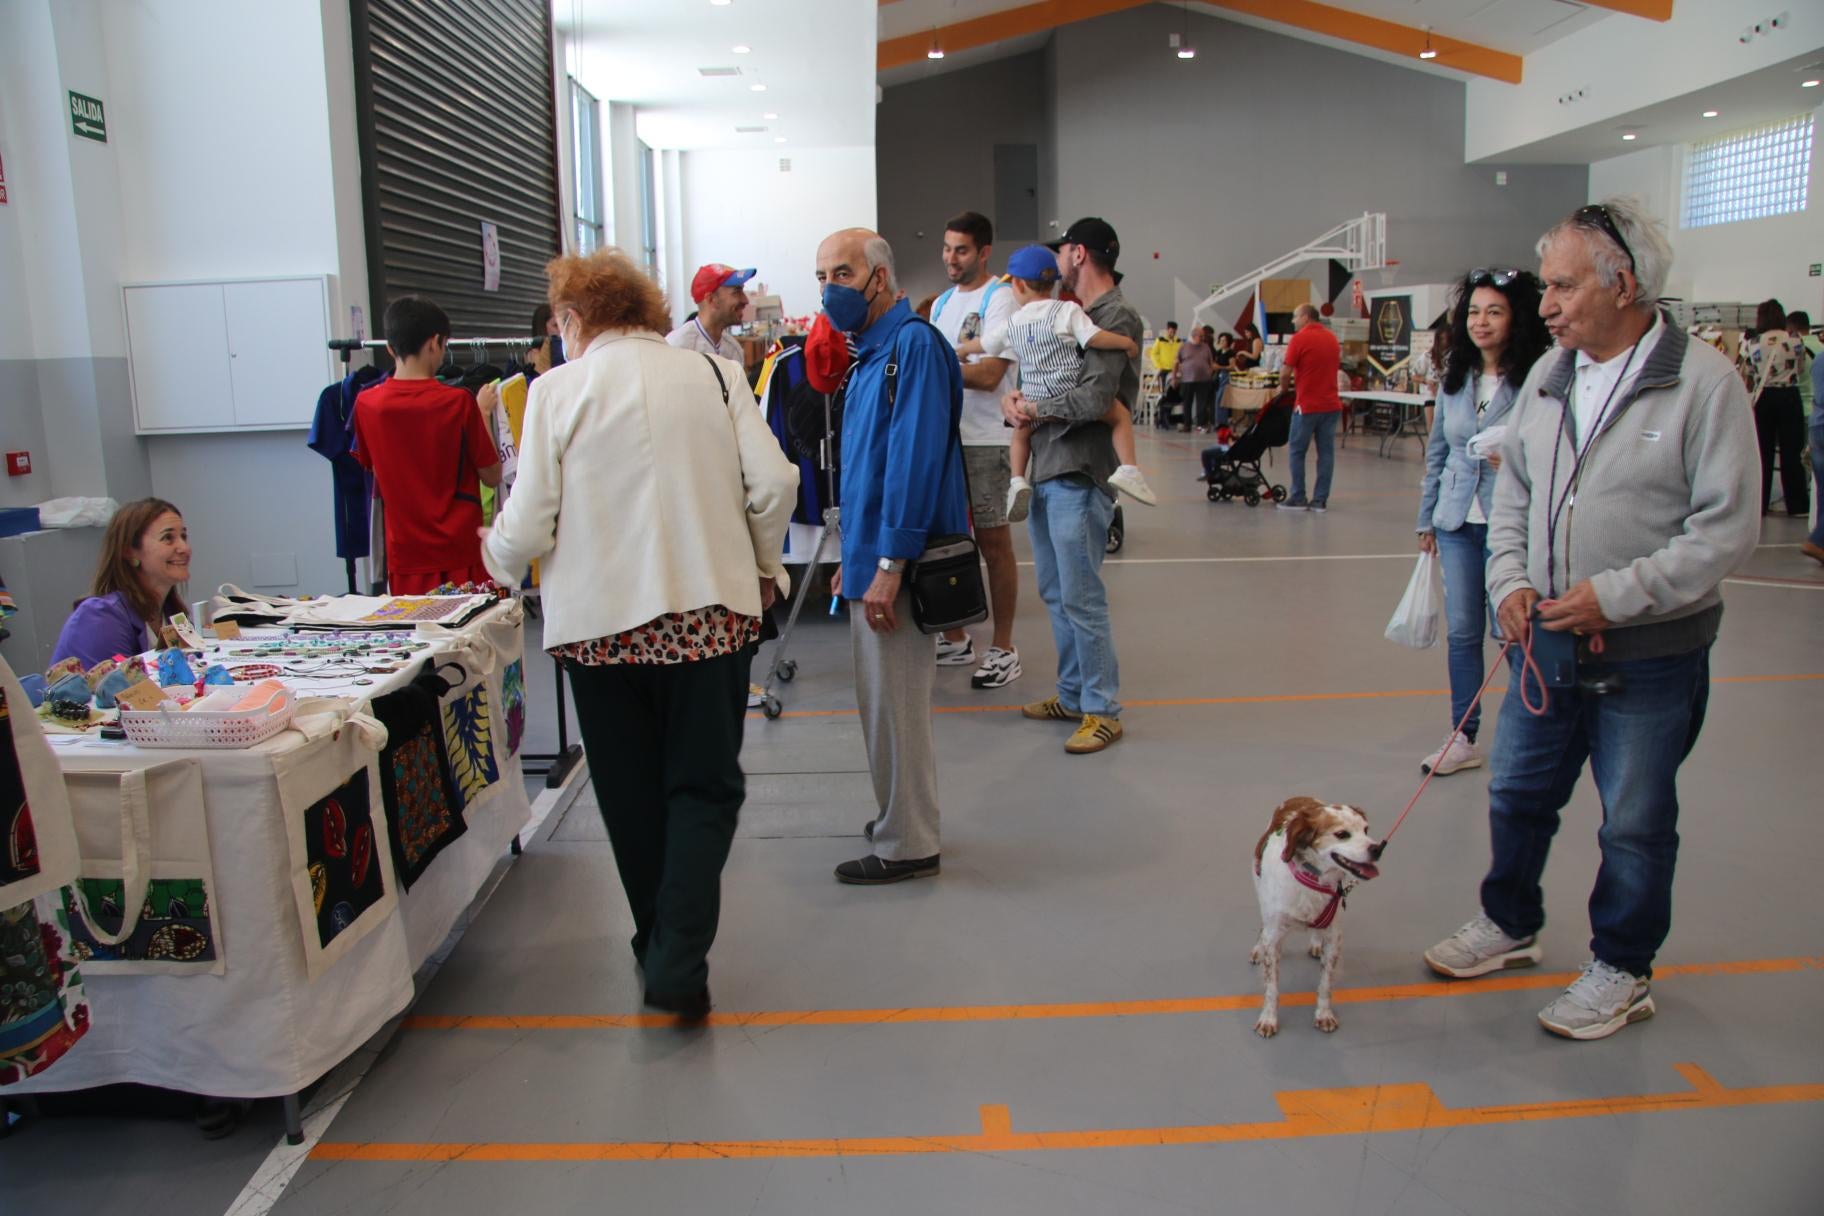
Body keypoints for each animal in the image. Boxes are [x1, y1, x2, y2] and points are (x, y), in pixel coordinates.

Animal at [1254, 798, 1378, 1035]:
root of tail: (1299, 797)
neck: (1312, 879)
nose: (1378, 848)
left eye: (1366, 830)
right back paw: (1257, 948)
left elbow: (1325, 985)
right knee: (1261, 925)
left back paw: (1315, 943)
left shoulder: (1334, 939)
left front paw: (1324, 1015)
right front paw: (1268, 1018)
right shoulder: (1273, 938)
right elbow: (1271, 987)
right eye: (1342, 834)